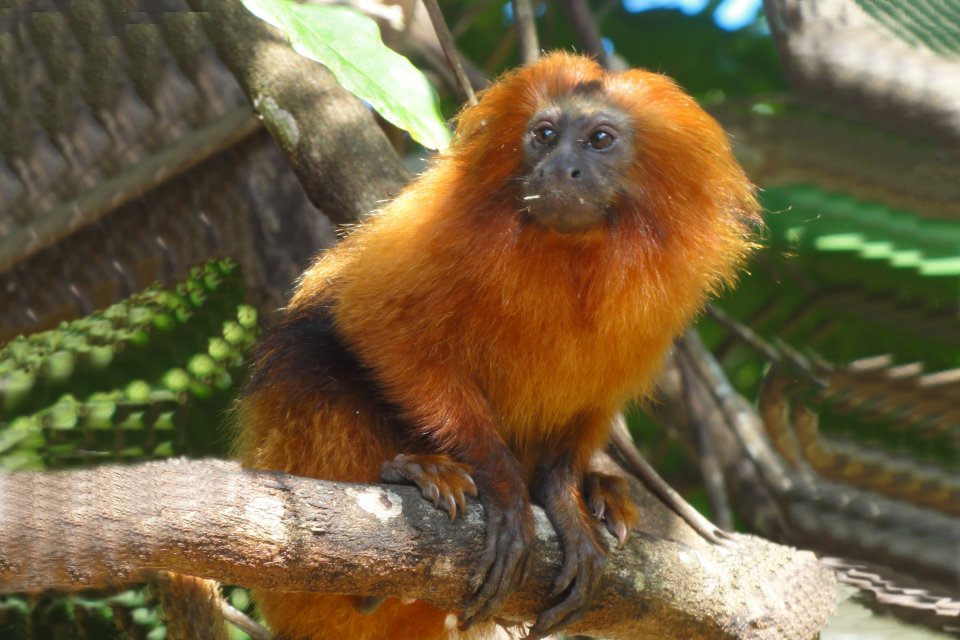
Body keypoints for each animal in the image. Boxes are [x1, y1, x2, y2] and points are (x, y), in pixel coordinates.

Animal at [237, 52, 760, 640]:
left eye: (599, 139)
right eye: (545, 135)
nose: (558, 169)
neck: (570, 256)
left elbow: (585, 415)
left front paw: (566, 502)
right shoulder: (443, 229)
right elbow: (377, 326)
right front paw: (505, 485)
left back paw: (602, 493)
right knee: (313, 358)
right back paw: (408, 481)